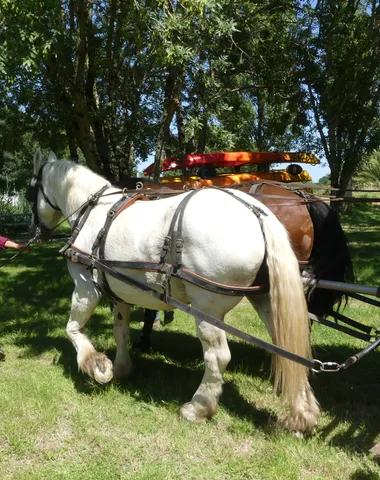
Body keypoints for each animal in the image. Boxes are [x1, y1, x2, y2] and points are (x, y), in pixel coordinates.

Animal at [28, 152, 320, 436]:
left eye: (30, 190)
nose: (37, 234)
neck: (94, 211)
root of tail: (257, 211)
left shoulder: (85, 287)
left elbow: (72, 328)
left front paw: (96, 365)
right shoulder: (121, 292)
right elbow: (120, 331)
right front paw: (122, 367)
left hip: (208, 308)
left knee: (218, 357)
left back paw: (199, 407)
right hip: (265, 299)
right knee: (290, 350)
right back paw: (301, 416)